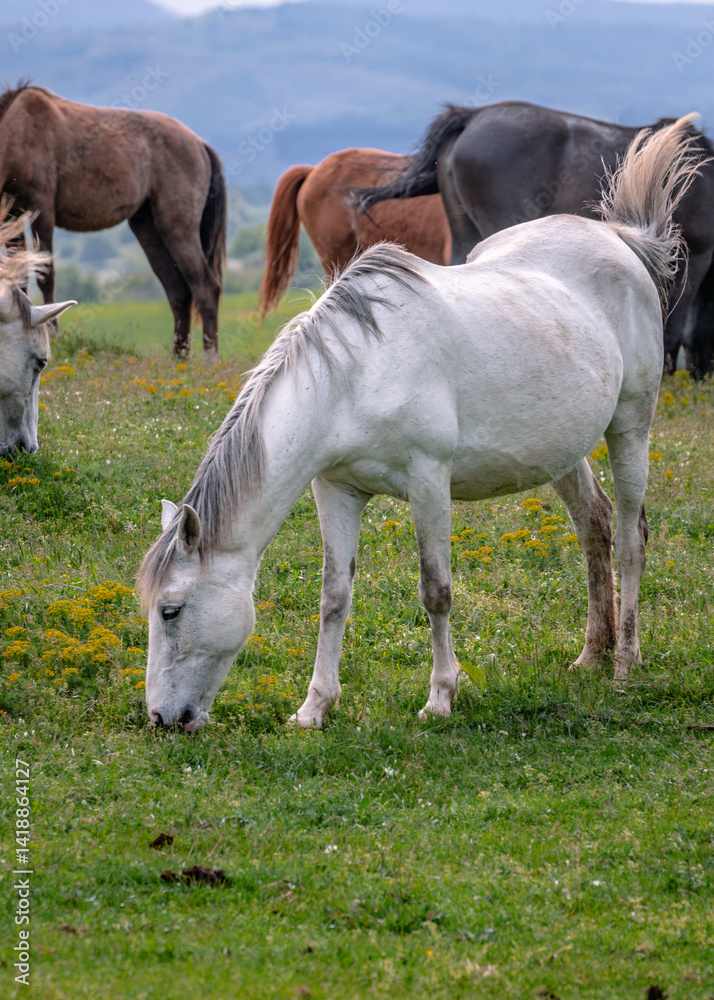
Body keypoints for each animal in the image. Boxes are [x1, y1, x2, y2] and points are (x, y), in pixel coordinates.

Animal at [0, 83, 226, 360]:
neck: (18, 133)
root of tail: (200, 144)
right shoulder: (13, 215)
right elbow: (20, 277)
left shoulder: (41, 210)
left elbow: (45, 274)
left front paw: (53, 334)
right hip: (148, 228)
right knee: (179, 291)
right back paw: (179, 358)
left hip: (177, 227)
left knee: (205, 286)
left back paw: (210, 358)